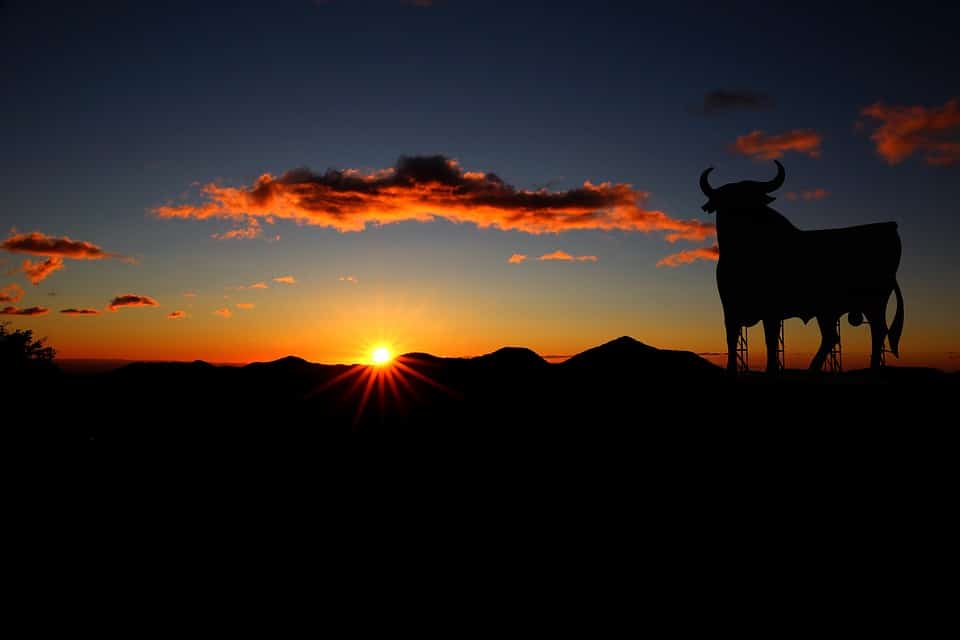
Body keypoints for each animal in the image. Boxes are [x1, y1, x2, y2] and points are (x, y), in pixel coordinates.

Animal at [699, 161, 904, 374]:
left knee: (877, 331)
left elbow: (770, 339)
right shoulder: (730, 308)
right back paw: (813, 368)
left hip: (874, 301)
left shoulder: (771, 310)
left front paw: (772, 369)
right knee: (832, 336)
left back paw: (871, 368)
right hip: (828, 310)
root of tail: (891, 227)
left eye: (752, 199)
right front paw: (731, 369)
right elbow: (731, 339)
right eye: (726, 200)